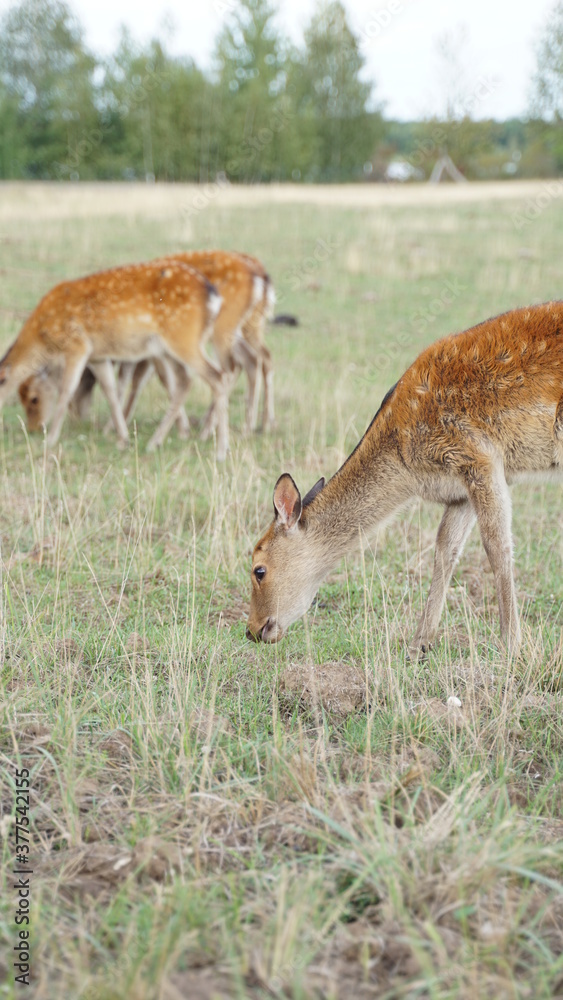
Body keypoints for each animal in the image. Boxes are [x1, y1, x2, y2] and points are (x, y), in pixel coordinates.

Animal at [0, 262, 227, 458]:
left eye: (34, 398)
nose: (34, 428)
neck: (43, 333)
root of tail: (213, 297)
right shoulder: (98, 356)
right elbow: (109, 389)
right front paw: (123, 439)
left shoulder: (77, 344)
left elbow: (67, 389)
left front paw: (51, 440)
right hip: (167, 348)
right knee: (185, 382)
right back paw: (154, 442)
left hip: (182, 337)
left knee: (217, 376)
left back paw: (220, 451)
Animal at [248, 300, 563, 652]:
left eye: (258, 570)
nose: (252, 629)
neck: (408, 467)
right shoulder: (459, 490)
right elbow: (445, 549)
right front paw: (419, 644)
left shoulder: (479, 457)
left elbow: (497, 546)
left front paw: (510, 644)